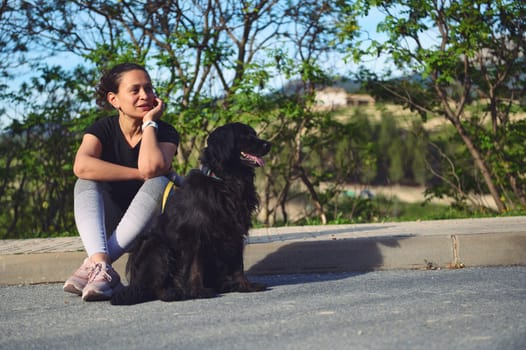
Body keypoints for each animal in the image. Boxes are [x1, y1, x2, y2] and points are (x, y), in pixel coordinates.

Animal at [111, 124, 272, 304]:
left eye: (254, 134)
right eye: (245, 136)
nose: (268, 145)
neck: (225, 181)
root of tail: (136, 282)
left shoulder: (235, 231)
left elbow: (238, 264)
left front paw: (246, 285)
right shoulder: (194, 234)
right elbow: (195, 266)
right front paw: (198, 291)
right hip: (156, 246)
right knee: (154, 286)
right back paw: (172, 293)